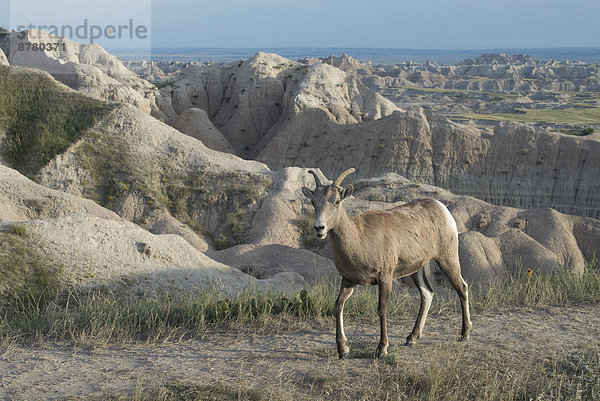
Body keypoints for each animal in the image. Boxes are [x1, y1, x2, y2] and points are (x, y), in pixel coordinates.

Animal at [302, 167, 472, 358]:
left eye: (337, 201)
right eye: (314, 202)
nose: (319, 228)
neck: (359, 239)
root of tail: (441, 207)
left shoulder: (385, 278)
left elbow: (382, 309)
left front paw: (382, 349)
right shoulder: (348, 280)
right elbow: (338, 305)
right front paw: (343, 350)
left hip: (447, 258)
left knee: (461, 288)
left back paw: (464, 334)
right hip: (417, 269)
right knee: (427, 293)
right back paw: (412, 338)